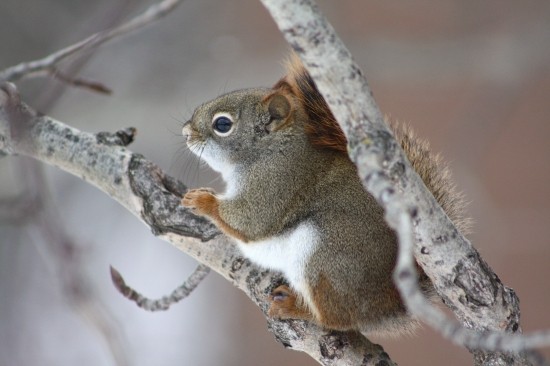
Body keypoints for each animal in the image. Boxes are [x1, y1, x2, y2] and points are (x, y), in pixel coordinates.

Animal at [182, 53, 470, 336]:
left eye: (222, 124)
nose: (186, 132)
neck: (272, 148)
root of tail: (388, 300)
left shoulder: (277, 181)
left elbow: (251, 221)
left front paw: (202, 200)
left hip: (324, 256)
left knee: (336, 318)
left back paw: (295, 308)